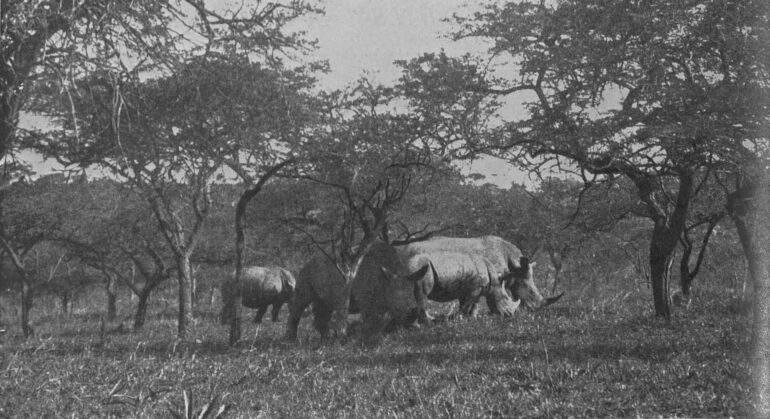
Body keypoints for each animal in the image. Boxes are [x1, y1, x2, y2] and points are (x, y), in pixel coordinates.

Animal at [284, 242, 429, 342]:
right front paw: (371, 337)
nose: (411, 322)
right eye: (398, 307)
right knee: (301, 302)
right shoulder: (368, 298)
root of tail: (310, 259)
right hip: (306, 271)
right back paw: (291, 341)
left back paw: (327, 338)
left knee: (325, 305)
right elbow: (373, 318)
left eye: (413, 297)